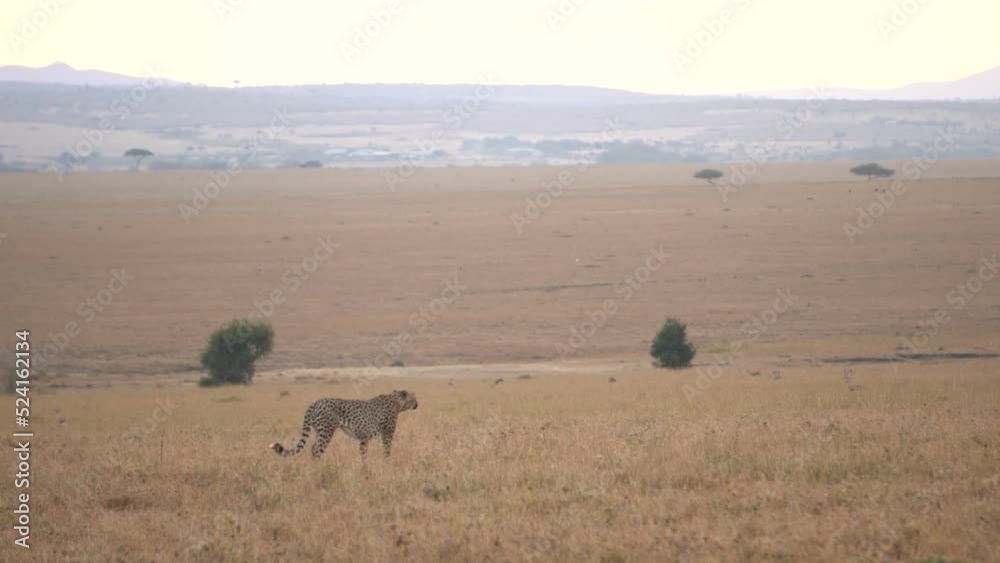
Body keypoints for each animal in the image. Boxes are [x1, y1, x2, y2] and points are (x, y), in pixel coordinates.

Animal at [269, 390, 418, 459]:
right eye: (414, 399)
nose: (417, 404)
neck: (397, 402)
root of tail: (316, 402)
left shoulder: (363, 438)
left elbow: (363, 454)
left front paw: (364, 469)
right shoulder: (387, 435)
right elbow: (387, 451)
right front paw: (387, 463)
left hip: (319, 431)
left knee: (313, 448)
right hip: (327, 432)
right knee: (317, 449)